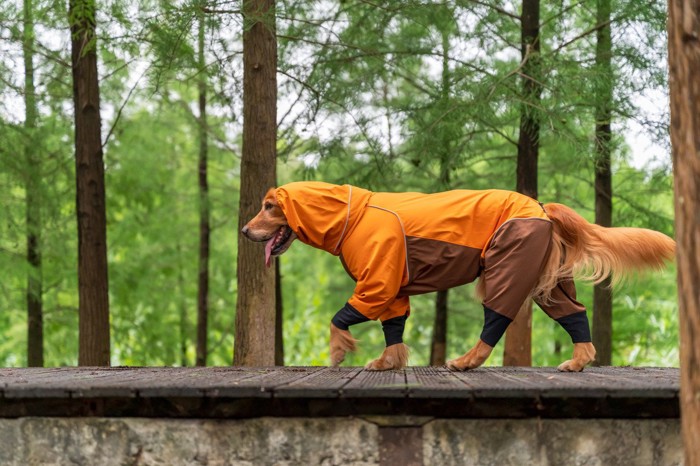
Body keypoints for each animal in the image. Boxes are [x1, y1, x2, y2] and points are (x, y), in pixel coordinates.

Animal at [241, 181, 672, 372]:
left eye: (268, 206)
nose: (244, 231)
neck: (354, 214)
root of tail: (541, 207)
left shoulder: (378, 279)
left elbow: (339, 319)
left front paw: (338, 352)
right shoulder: (392, 284)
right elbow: (394, 326)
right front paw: (389, 361)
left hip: (507, 265)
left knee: (496, 318)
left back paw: (465, 361)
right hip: (545, 280)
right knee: (574, 312)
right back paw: (578, 362)